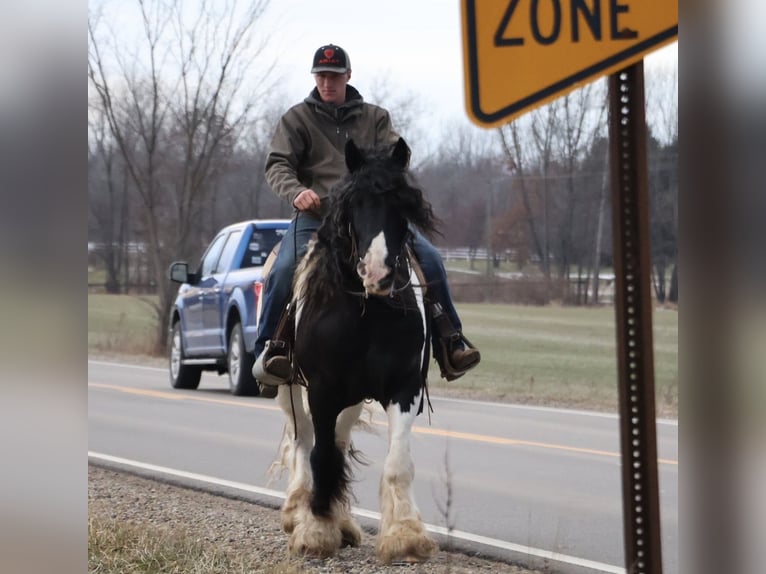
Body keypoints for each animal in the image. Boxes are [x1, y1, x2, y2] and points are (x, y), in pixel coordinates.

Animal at [272, 137, 439, 563]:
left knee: (339, 442)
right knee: (304, 440)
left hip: (350, 398)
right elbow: (320, 456)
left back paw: (342, 522)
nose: (377, 273)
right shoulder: (322, 390)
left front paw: (405, 535)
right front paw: (315, 530)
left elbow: (398, 462)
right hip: (290, 389)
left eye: (403, 205)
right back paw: (297, 511)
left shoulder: (404, 388)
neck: (367, 313)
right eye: (352, 204)